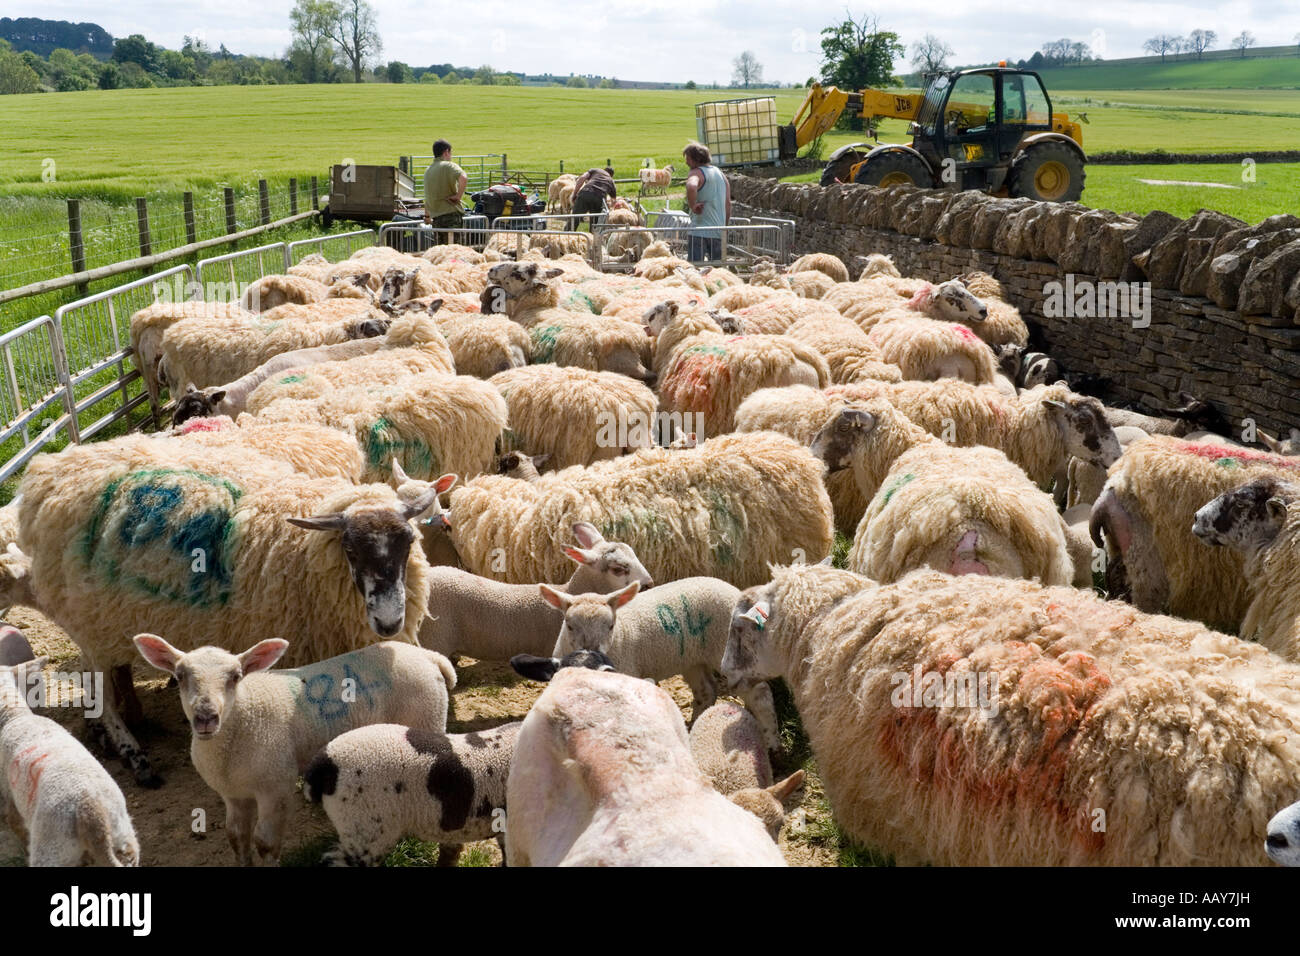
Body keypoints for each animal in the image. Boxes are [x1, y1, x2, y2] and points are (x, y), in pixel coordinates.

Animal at [0, 658, 140, 866]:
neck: (14, 715)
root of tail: (91, 814)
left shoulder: (8, 795)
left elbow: (15, 825)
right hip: (124, 837)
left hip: (52, 849)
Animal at [7, 450, 441, 784]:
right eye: (350, 549)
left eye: (409, 542)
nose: (389, 623)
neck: (304, 550)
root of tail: (50, 467)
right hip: (86, 619)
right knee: (100, 690)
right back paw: (132, 751)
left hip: (107, 618)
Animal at [134, 635, 454, 864]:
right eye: (179, 675)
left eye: (236, 676)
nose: (205, 717)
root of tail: (428, 655)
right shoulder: (233, 793)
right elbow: (236, 838)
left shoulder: (275, 787)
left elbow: (265, 844)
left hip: (427, 719)